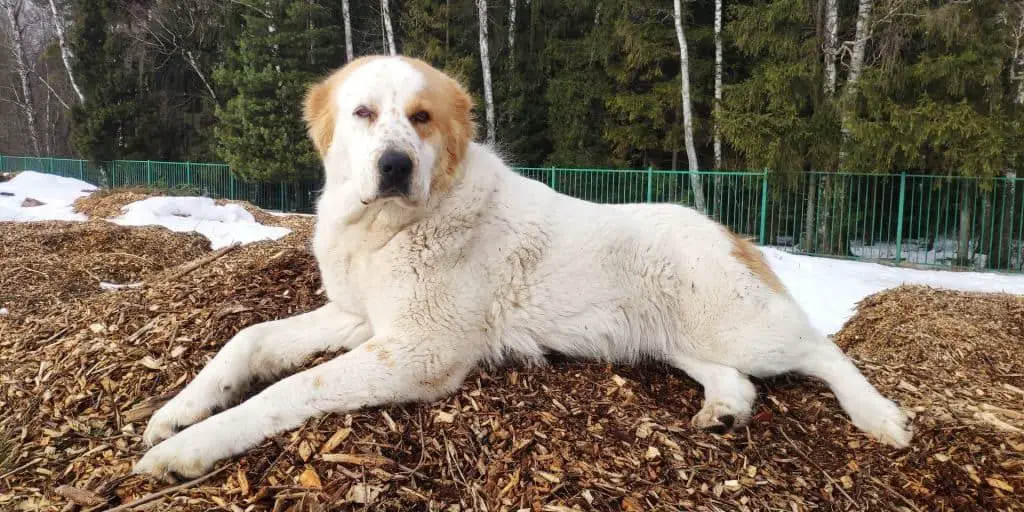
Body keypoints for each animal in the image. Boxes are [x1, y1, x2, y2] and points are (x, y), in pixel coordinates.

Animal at [130, 57, 913, 483]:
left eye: (421, 118)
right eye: (363, 113)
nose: (395, 165)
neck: (392, 229)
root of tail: (726, 228)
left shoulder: (419, 352)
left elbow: (288, 390)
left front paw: (195, 447)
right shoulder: (362, 320)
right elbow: (248, 340)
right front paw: (177, 412)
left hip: (739, 326)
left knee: (821, 348)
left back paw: (879, 417)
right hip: (675, 339)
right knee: (738, 380)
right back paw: (724, 410)